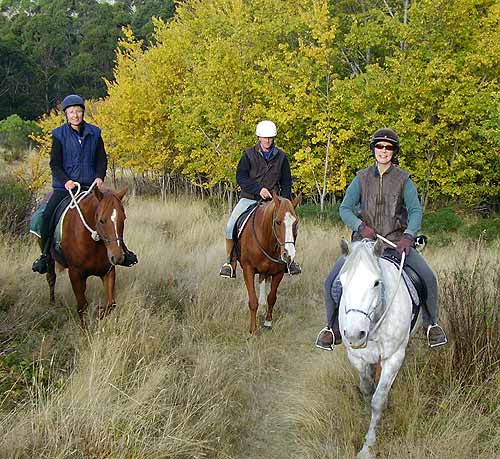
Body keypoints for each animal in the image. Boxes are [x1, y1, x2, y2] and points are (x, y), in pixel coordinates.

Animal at [44, 183, 129, 328]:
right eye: (101, 220)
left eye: (123, 219)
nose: (117, 257)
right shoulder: (75, 274)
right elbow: (82, 307)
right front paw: (86, 331)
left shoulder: (108, 272)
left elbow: (111, 304)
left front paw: (98, 313)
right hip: (49, 259)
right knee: (51, 278)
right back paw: (51, 304)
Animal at [236, 192, 298, 336]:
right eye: (278, 222)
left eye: (296, 222)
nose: (288, 255)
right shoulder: (248, 269)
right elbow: (253, 301)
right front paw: (253, 330)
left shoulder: (278, 273)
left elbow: (272, 298)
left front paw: (268, 322)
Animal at [338, 239, 420, 458]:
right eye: (341, 282)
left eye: (376, 283)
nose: (354, 335)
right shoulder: (356, 357)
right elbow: (367, 389)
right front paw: (365, 414)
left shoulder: (393, 357)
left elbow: (378, 399)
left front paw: (368, 445)